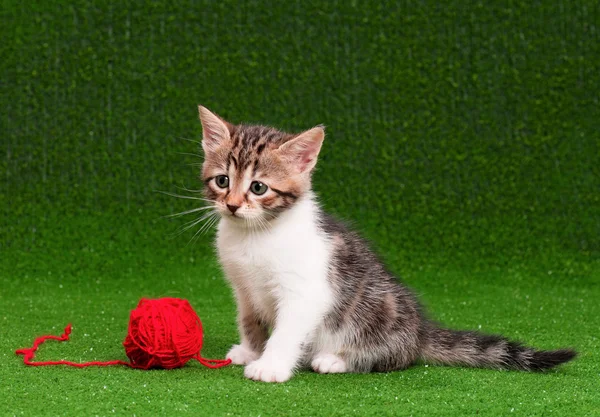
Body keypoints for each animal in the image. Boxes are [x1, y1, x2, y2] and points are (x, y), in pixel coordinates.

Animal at [197, 105, 576, 382]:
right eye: (222, 181)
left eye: (258, 187)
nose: (232, 205)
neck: (253, 234)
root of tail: (420, 332)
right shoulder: (243, 288)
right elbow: (250, 320)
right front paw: (250, 350)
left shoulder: (306, 290)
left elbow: (287, 330)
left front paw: (270, 366)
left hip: (375, 317)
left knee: (394, 358)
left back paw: (335, 360)